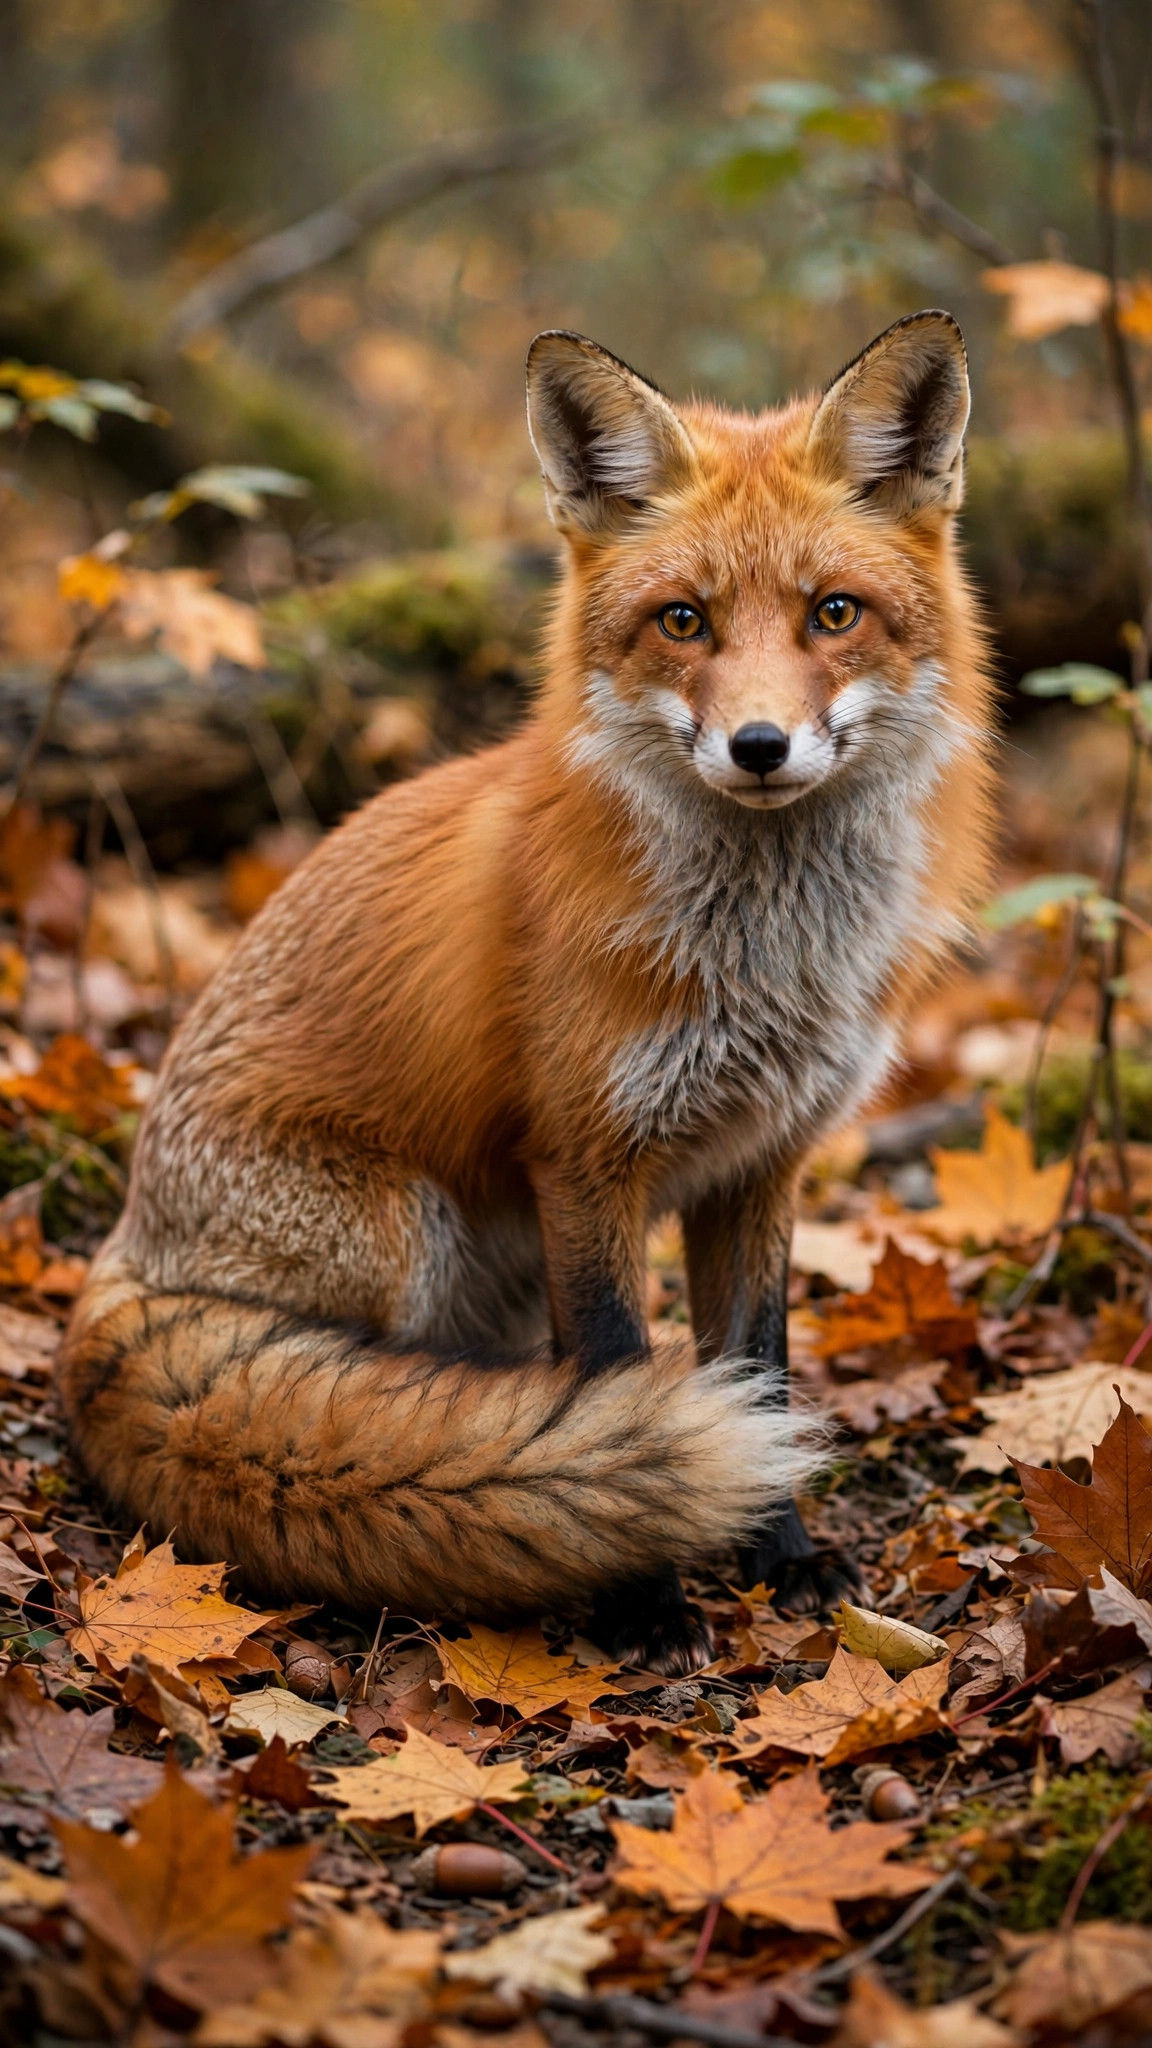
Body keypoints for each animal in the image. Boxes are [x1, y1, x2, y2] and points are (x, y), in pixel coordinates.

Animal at [57, 309, 995, 1676]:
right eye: (682, 621)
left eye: (834, 613)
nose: (760, 746)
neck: (763, 961)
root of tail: (114, 1269)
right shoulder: (585, 1155)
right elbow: (612, 1371)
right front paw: (640, 1595)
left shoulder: (761, 1164)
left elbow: (758, 1370)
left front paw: (780, 1555)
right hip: (397, 1237)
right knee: (350, 1403)